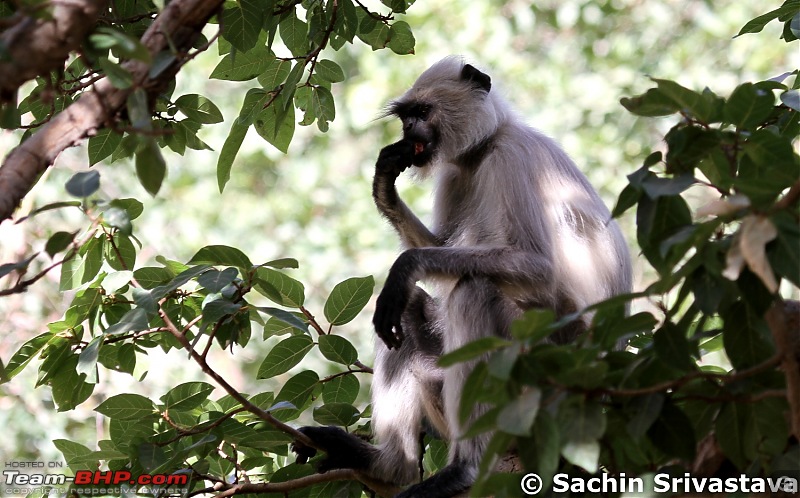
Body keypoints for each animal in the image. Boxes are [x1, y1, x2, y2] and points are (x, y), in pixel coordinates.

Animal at [292, 56, 632, 496]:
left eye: (422, 113)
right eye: (406, 117)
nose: (408, 131)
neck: (484, 149)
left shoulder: (510, 158)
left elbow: (538, 267)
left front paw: (406, 266)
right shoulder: (457, 174)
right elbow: (438, 255)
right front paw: (384, 185)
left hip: (549, 368)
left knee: (472, 292)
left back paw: (464, 469)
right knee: (406, 309)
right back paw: (392, 466)